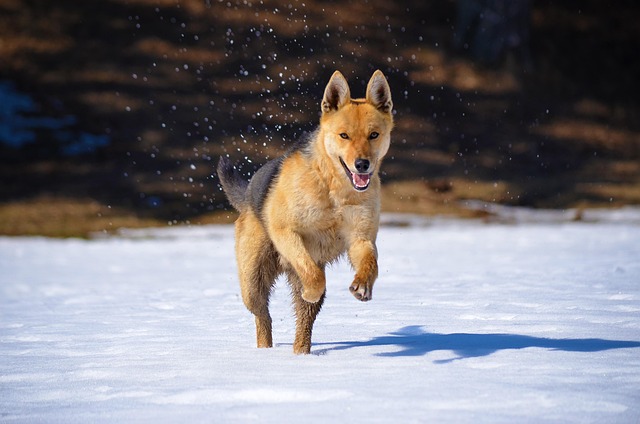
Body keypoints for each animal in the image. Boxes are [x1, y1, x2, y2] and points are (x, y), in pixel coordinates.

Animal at [217, 70, 393, 354]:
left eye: (374, 135)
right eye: (344, 136)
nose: (362, 164)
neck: (334, 188)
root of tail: (247, 194)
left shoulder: (361, 239)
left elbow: (371, 264)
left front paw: (363, 286)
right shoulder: (286, 232)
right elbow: (314, 275)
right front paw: (311, 289)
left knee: (303, 323)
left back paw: (301, 354)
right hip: (252, 284)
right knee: (263, 316)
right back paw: (265, 351)